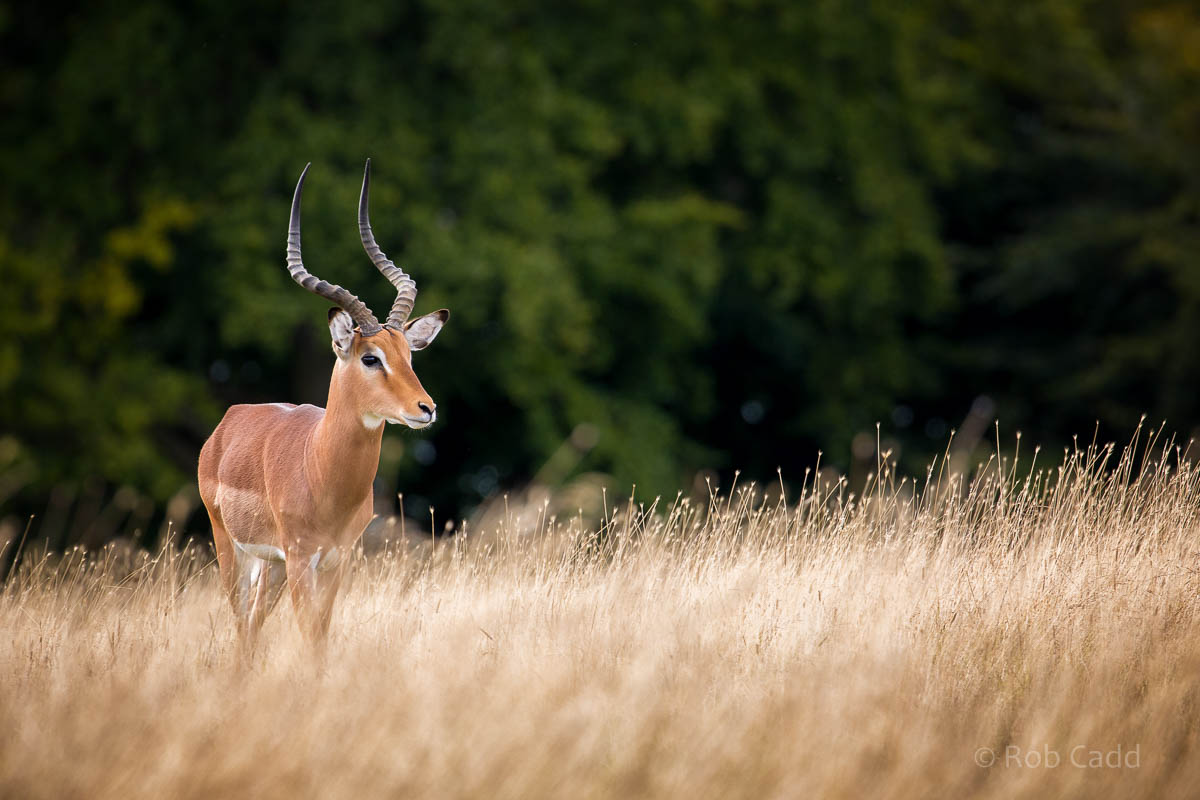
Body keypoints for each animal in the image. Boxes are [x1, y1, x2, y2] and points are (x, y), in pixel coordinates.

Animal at [198, 161, 448, 648]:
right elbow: (310, 637)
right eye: (371, 358)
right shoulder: (300, 559)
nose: (426, 408)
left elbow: (322, 634)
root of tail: (230, 421)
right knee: (241, 623)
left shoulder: (338, 560)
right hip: (235, 551)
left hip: (271, 566)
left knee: (252, 625)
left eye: (409, 356)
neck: (321, 469)